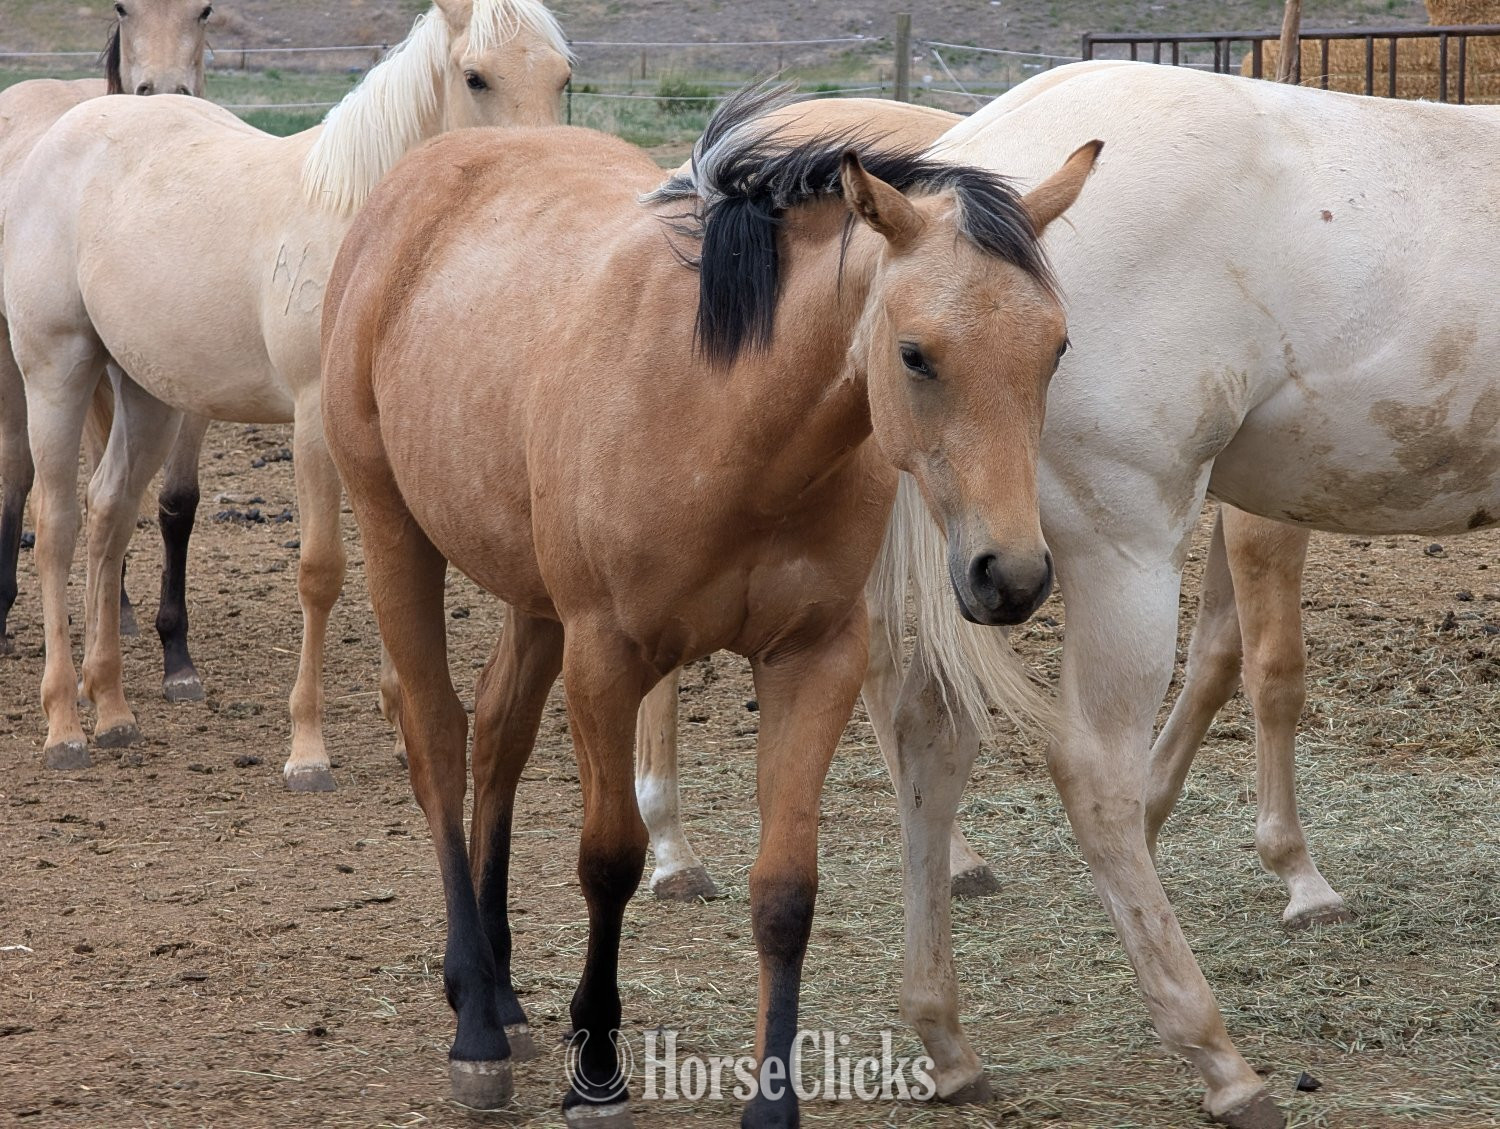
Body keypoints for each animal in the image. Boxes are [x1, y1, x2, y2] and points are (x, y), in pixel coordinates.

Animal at [0, 0, 212, 657]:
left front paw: (175, 649)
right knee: (20, 472)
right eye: (122, 7)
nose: (163, 89)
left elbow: (174, 500)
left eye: (205, 9)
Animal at [321, 80, 1098, 1125]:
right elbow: (609, 858)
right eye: (916, 354)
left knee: (497, 732)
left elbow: (787, 891)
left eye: (1055, 347)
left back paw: (498, 988)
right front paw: (595, 1069)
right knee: (440, 742)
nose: (1008, 574)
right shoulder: (607, 656)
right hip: (394, 532)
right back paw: (478, 1027)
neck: (724, 415)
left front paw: (773, 1100)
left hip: (532, 598)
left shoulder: (815, 659)